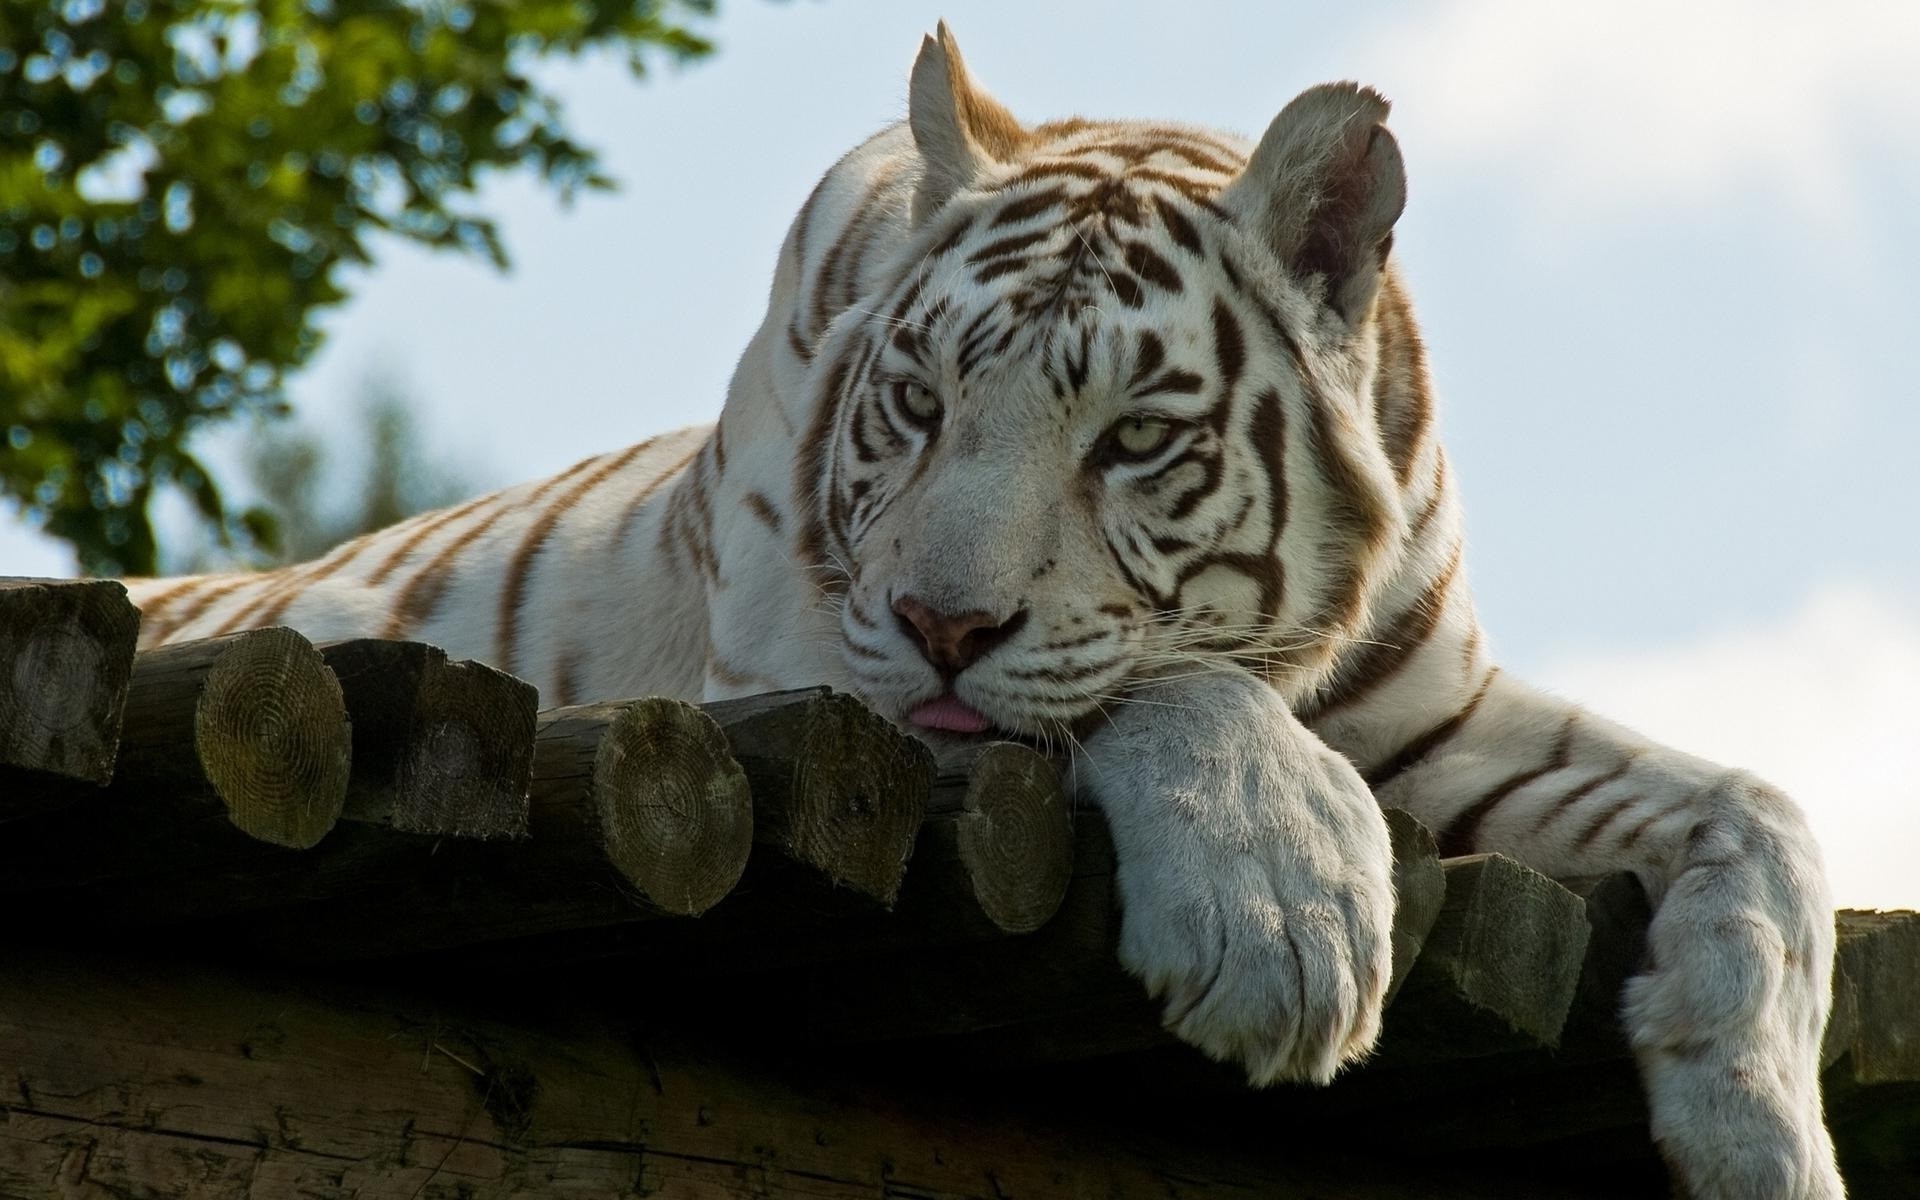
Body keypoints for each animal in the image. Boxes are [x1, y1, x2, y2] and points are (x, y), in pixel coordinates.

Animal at [123, 26, 1842, 1199]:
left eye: (1133, 439)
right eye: (920, 402)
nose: (945, 623)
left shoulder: (1442, 719)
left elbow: (1762, 814)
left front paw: (1763, 1131)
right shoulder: (811, 671)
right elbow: (1153, 687)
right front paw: (1286, 921)